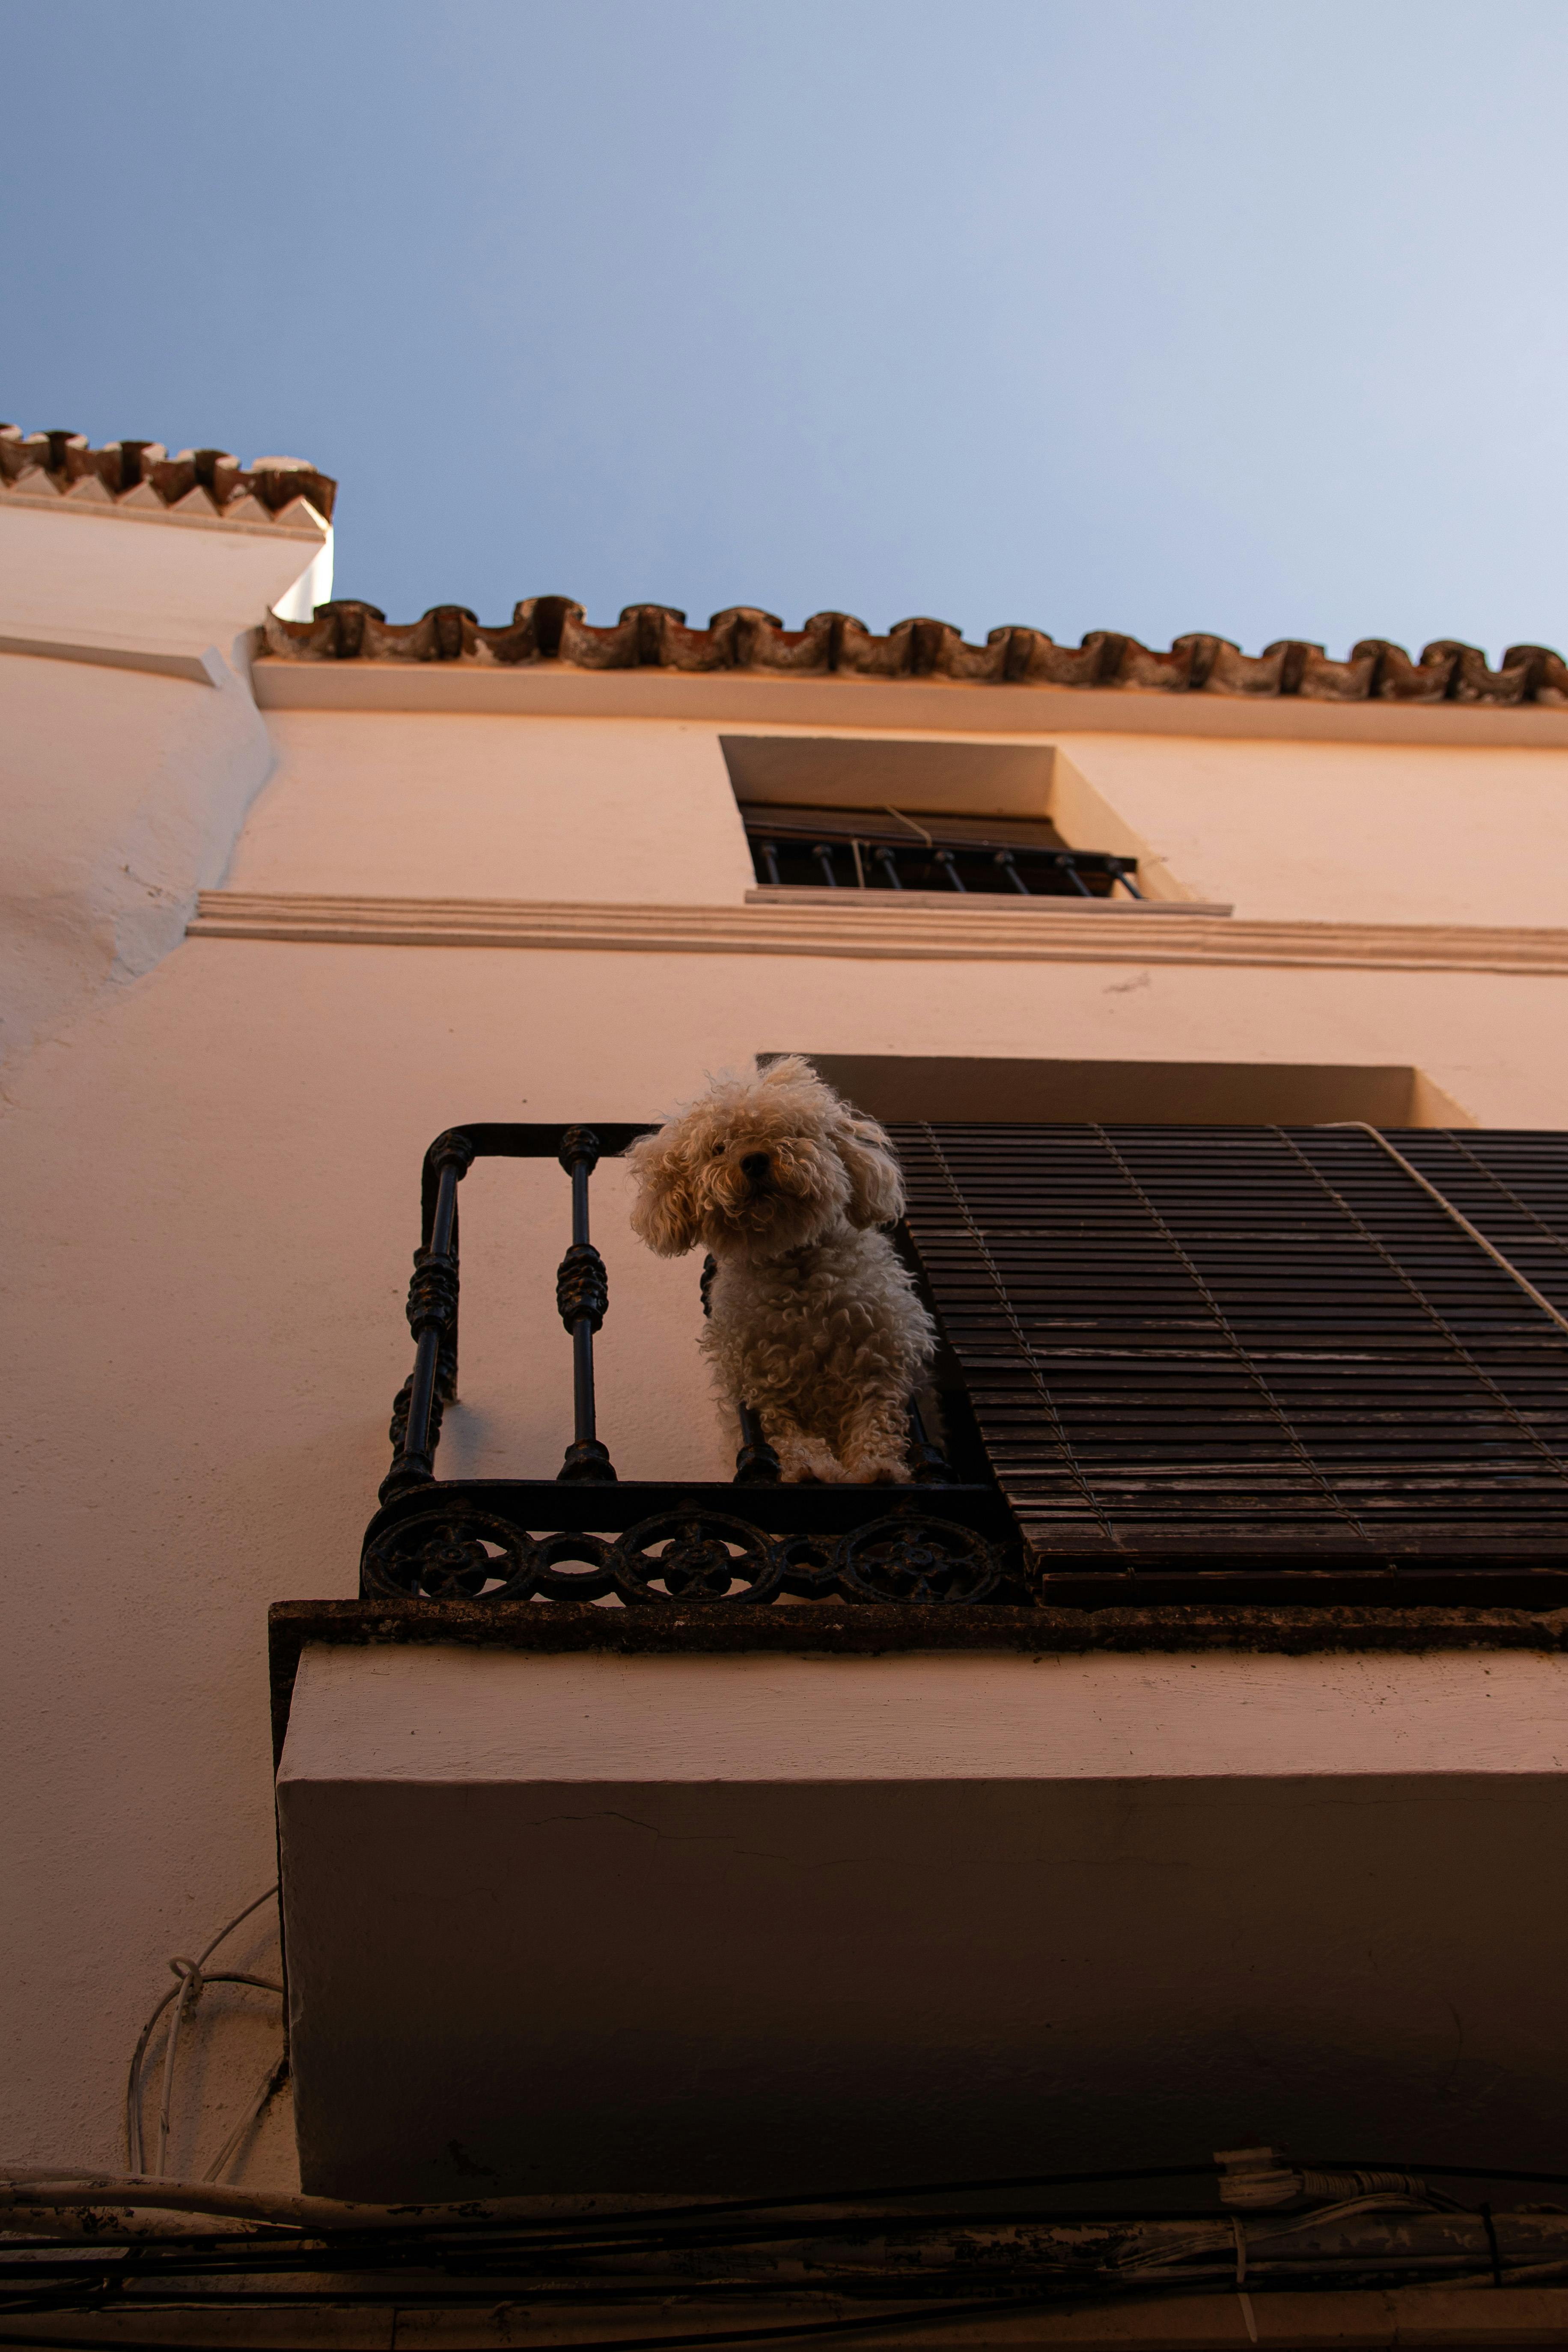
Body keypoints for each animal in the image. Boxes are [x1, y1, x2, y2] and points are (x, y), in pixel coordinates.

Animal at [630, 1058, 945, 1477]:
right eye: (718, 1148)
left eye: (787, 1132)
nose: (753, 1160)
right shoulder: (758, 1380)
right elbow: (787, 1436)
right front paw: (810, 1467)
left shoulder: (882, 1360)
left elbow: (875, 1423)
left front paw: (876, 1468)